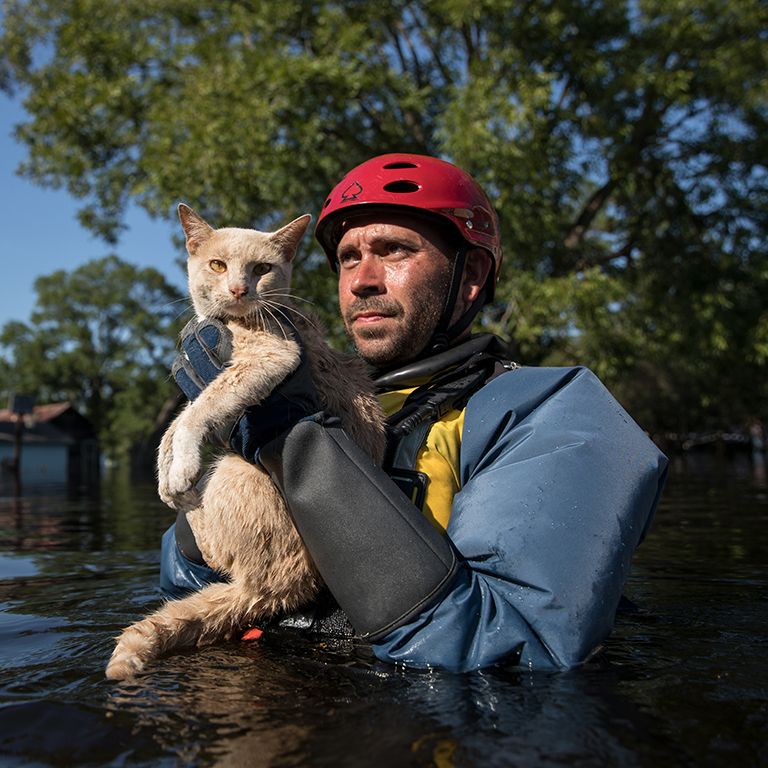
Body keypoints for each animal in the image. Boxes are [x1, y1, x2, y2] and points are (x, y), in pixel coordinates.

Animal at [103, 204, 384, 680]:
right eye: (218, 265)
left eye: (262, 269)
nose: (238, 288)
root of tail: (272, 591)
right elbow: (175, 423)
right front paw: (165, 464)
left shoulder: (270, 357)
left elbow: (198, 411)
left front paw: (179, 469)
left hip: (234, 469)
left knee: (215, 548)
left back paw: (189, 499)